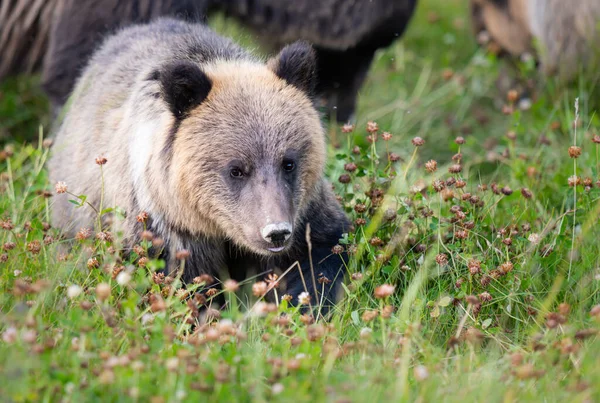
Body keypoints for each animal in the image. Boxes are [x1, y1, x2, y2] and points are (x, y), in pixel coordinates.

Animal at [49, 18, 352, 310]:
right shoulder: (168, 230)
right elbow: (186, 286)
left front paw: (307, 304)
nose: (275, 232)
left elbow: (320, 255)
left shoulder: (306, 213)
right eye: (236, 169)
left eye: (288, 163)